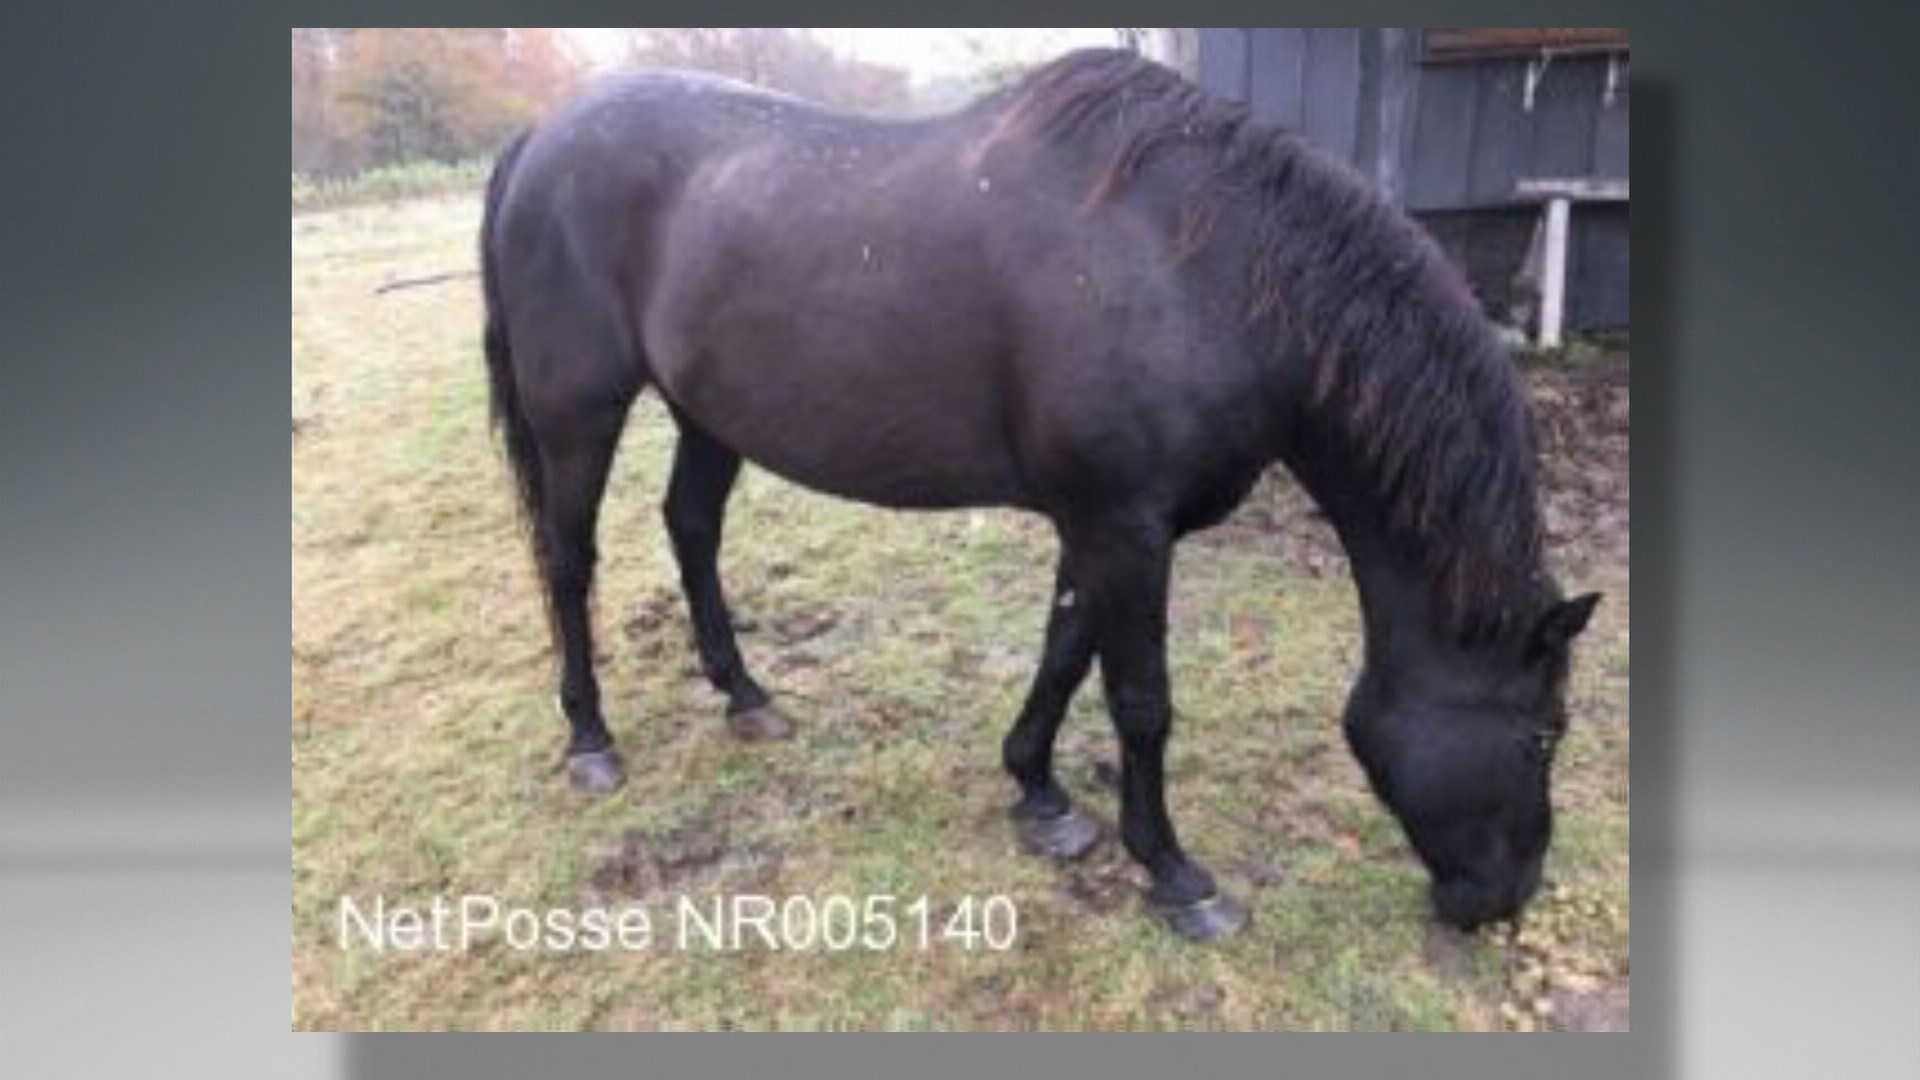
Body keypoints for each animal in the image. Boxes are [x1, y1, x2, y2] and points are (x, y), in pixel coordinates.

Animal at [479, 49, 1600, 942]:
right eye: (1544, 733)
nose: (1506, 901)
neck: (1208, 272)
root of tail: (539, 137)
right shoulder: (1125, 526)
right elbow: (1141, 700)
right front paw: (1177, 876)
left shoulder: (1101, 524)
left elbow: (1067, 649)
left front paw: (1040, 792)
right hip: (579, 410)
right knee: (569, 561)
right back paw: (590, 740)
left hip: (708, 411)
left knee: (692, 528)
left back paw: (744, 696)